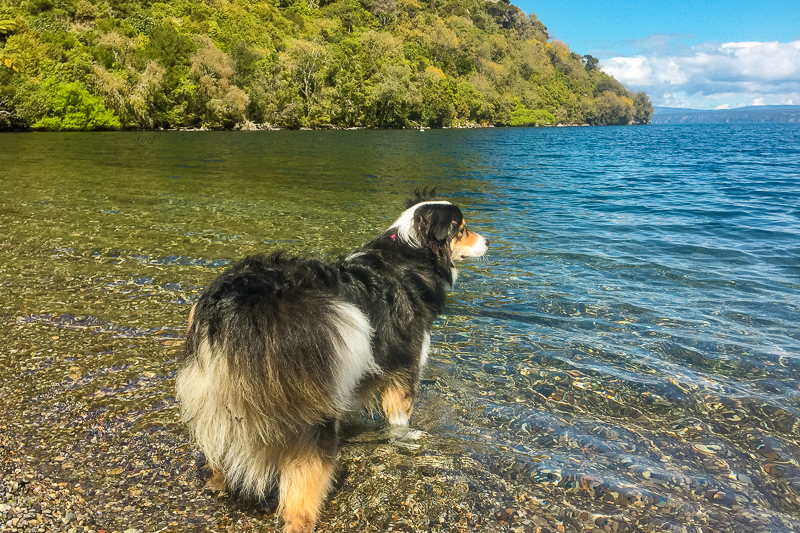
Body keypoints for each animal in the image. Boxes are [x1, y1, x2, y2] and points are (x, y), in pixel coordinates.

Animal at [177, 189, 488, 528]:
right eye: (463, 229)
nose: (488, 243)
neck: (412, 255)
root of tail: (248, 301)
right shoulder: (404, 372)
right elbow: (399, 423)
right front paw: (408, 440)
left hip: (220, 396)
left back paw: (218, 481)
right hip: (308, 417)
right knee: (303, 485)